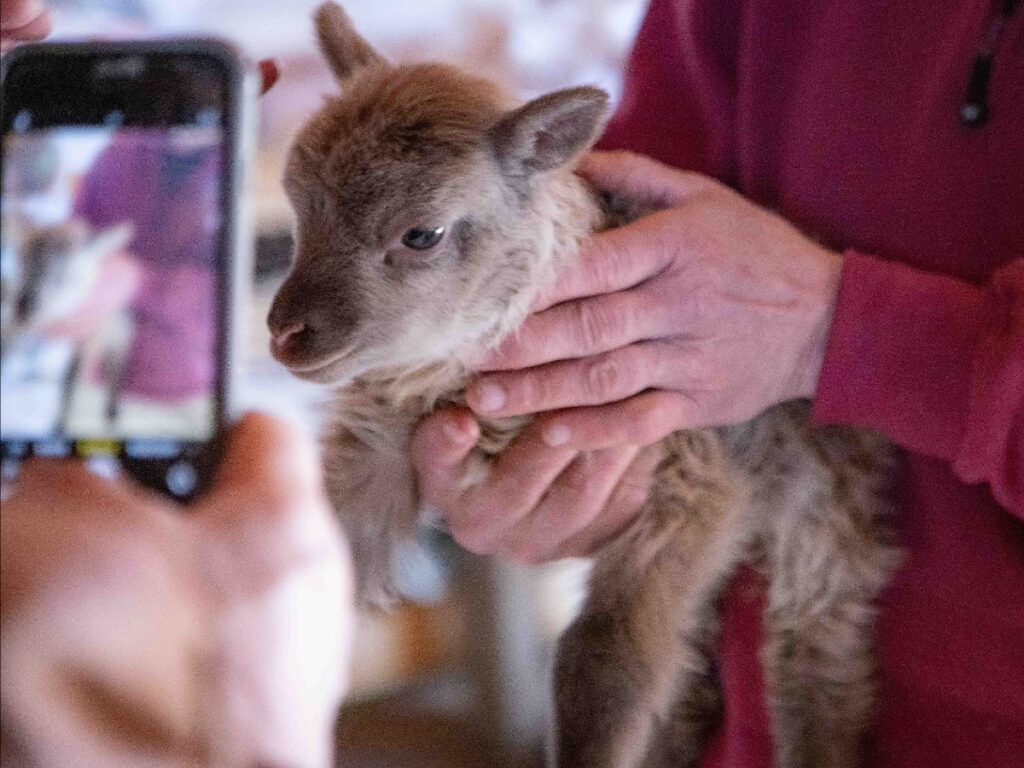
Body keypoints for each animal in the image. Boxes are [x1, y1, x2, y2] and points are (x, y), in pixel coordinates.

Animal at [270, 3, 897, 765]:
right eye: (298, 209)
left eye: (421, 234)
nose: (285, 333)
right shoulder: (377, 441)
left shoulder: (685, 480)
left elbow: (602, 662)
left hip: (823, 511)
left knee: (816, 663)